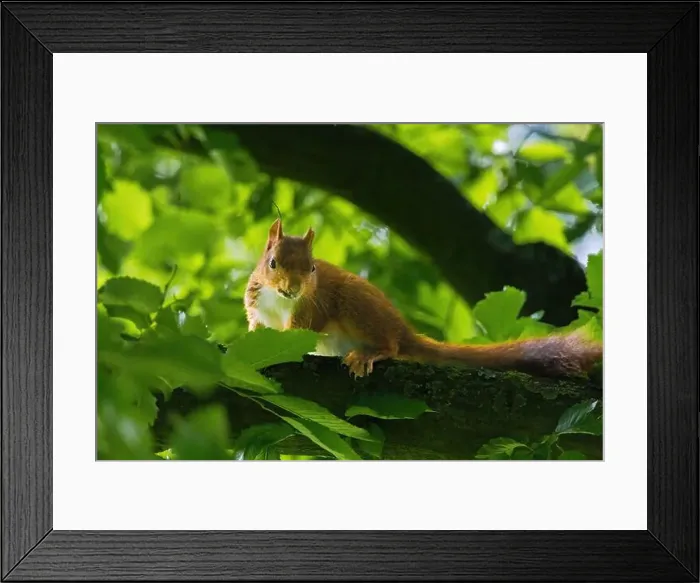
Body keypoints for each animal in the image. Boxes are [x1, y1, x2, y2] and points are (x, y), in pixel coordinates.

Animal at [244, 219, 603, 379]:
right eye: (272, 263)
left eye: (313, 268)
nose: (293, 289)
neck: (279, 301)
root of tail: (403, 330)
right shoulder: (256, 308)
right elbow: (255, 329)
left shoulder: (310, 309)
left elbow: (298, 332)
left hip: (357, 307)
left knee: (391, 347)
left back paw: (369, 354)